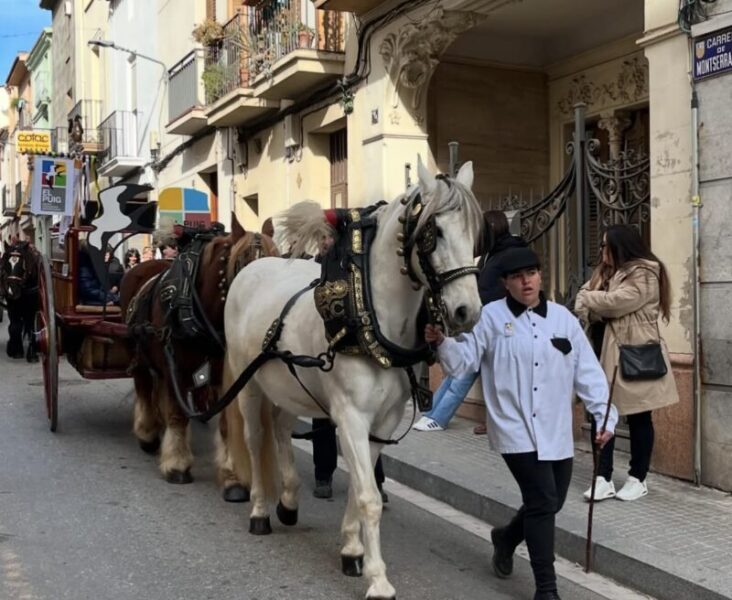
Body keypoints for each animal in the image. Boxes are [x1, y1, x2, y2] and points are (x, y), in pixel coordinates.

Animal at [118, 216, 278, 496]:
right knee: (144, 390)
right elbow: (177, 415)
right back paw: (147, 433)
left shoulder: (221, 375)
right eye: (246, 272)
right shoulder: (178, 369)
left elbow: (224, 424)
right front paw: (177, 465)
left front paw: (231, 476)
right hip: (138, 354)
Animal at [226, 159, 484, 600]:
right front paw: (378, 578)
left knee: (280, 429)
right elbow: (368, 496)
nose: (468, 311)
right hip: (250, 385)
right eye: (434, 232)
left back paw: (289, 501)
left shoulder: (382, 421)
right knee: (256, 439)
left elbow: (362, 488)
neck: (368, 317)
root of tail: (252, 267)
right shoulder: (350, 417)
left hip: (289, 385)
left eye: (472, 232)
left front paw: (351, 549)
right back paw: (260, 509)